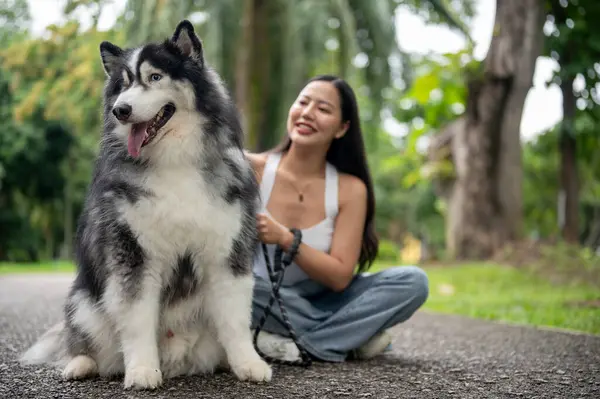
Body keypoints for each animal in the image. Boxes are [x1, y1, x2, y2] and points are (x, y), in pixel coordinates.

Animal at [18, 19, 272, 390]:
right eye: (123, 86)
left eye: (154, 77)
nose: (120, 110)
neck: (174, 160)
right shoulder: (133, 255)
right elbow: (137, 320)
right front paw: (141, 370)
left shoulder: (226, 253)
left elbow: (236, 320)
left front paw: (248, 363)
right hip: (84, 302)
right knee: (81, 341)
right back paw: (80, 365)